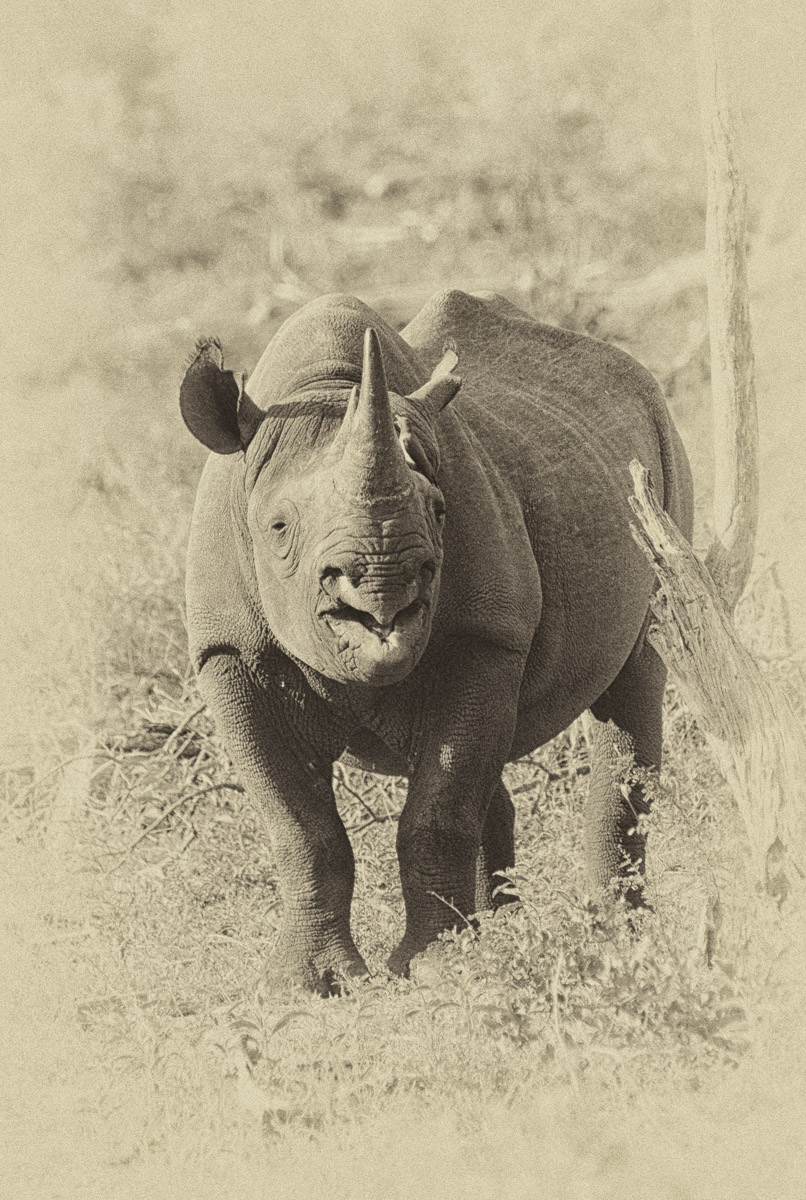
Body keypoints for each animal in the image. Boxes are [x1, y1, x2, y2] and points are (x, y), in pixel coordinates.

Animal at [180, 288, 693, 994]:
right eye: (279, 527)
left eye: (439, 511)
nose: (385, 583)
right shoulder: (228, 652)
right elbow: (298, 823)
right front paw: (307, 984)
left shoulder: (485, 634)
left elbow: (438, 806)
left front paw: (439, 967)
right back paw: (505, 928)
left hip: (659, 469)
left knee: (634, 674)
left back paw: (614, 936)